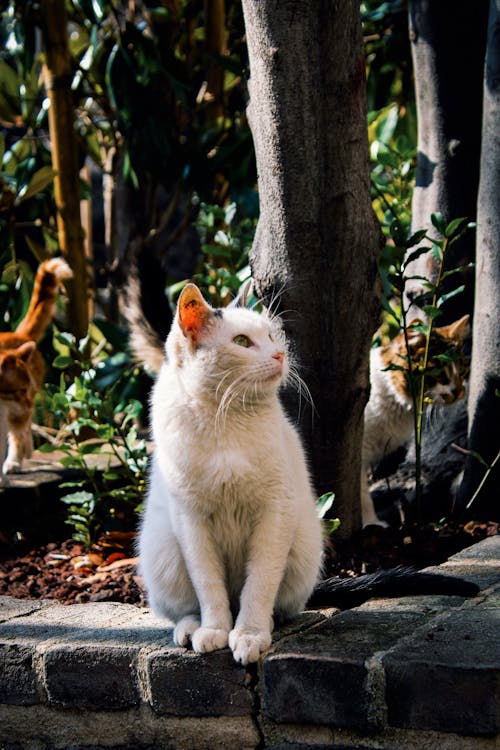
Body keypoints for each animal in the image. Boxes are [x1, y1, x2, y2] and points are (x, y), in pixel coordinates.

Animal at [0, 258, 72, 482]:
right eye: (19, 390)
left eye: (25, 389)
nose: (27, 401)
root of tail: (16, 335)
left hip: (18, 415)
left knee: (20, 434)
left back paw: (17, 459)